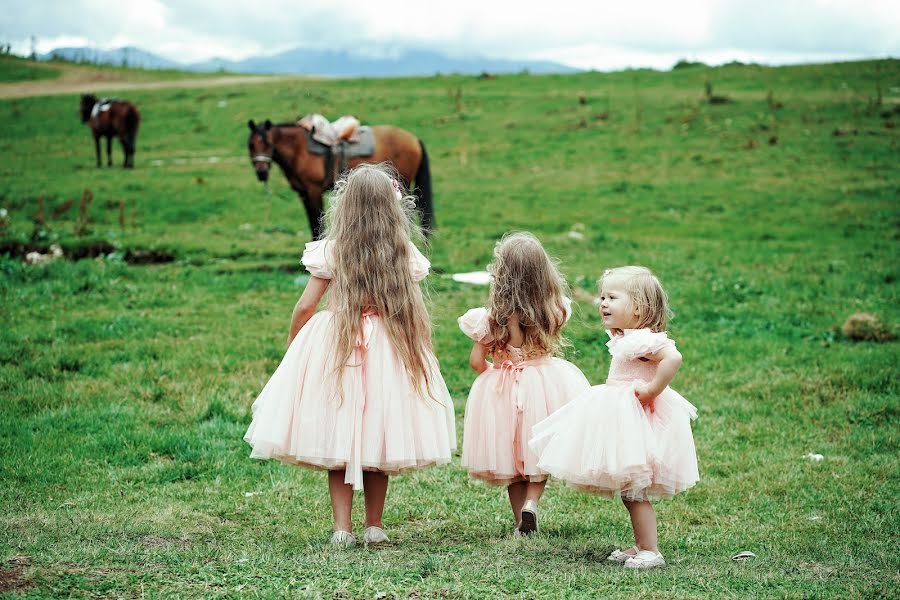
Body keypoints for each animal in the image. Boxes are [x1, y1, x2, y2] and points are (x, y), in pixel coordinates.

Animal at [244, 118, 430, 238]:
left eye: (267, 143)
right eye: (251, 145)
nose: (261, 172)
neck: (300, 150)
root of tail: (414, 139)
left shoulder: (314, 191)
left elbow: (317, 224)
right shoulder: (303, 194)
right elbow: (312, 223)